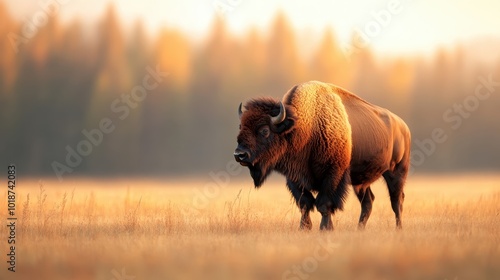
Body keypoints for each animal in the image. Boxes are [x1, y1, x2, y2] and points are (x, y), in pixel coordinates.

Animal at [234, 80, 410, 230]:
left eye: (264, 130)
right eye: (241, 127)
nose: (239, 154)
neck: (305, 127)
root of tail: (403, 127)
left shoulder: (333, 175)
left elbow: (324, 203)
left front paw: (326, 228)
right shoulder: (294, 178)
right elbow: (304, 204)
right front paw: (304, 228)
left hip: (396, 172)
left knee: (397, 201)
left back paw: (398, 229)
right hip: (360, 182)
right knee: (368, 201)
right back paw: (359, 229)